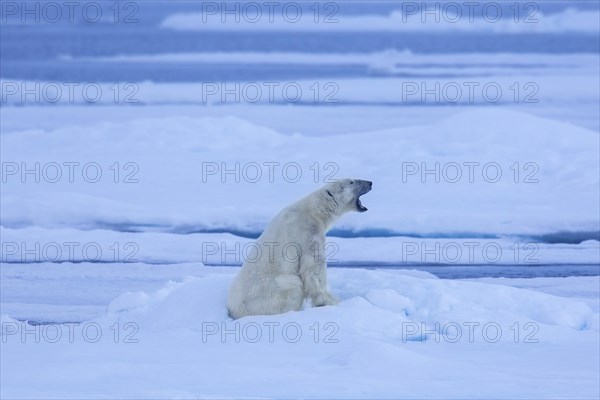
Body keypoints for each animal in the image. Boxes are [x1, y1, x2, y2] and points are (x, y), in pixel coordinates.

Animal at [227, 178, 372, 318]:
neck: (313, 211)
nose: (370, 183)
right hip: (272, 290)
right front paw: (331, 301)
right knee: (293, 286)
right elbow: (313, 269)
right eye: (351, 181)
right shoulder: (307, 233)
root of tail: (236, 312)